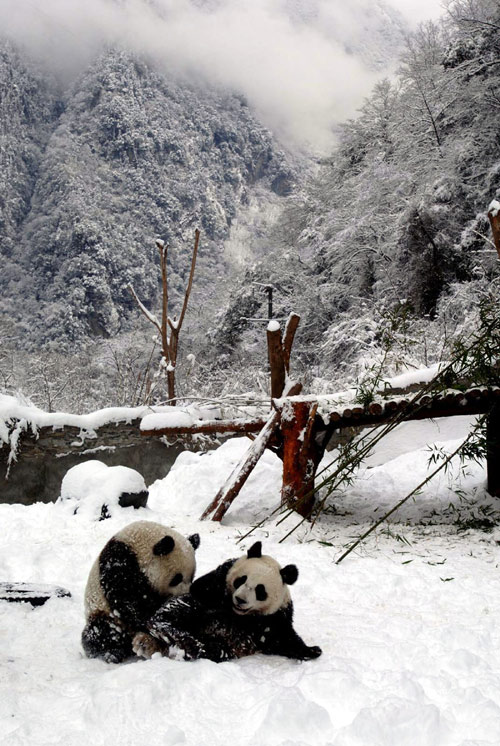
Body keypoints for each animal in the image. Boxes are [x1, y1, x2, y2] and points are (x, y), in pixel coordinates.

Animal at [81, 516, 199, 664]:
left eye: (192, 577)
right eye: (177, 578)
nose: (185, 594)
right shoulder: (120, 564)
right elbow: (128, 602)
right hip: (103, 613)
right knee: (102, 632)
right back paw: (111, 652)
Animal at [133, 536, 322, 660]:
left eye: (260, 590)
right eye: (241, 580)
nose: (240, 600)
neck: (239, 615)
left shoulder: (276, 617)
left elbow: (283, 638)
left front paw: (313, 651)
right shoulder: (219, 577)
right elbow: (202, 587)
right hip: (190, 610)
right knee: (173, 613)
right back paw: (180, 635)